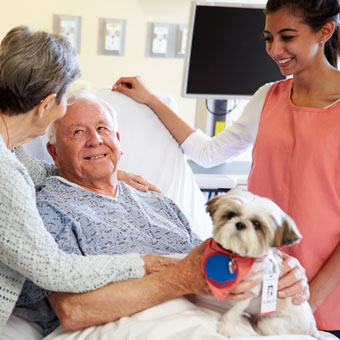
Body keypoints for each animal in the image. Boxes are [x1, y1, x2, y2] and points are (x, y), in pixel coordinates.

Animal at [203, 190, 322, 338]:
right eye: (231, 215)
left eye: (256, 224)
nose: (240, 224)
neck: (237, 258)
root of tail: (312, 329)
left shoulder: (248, 293)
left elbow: (234, 311)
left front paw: (226, 327)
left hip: (271, 323)